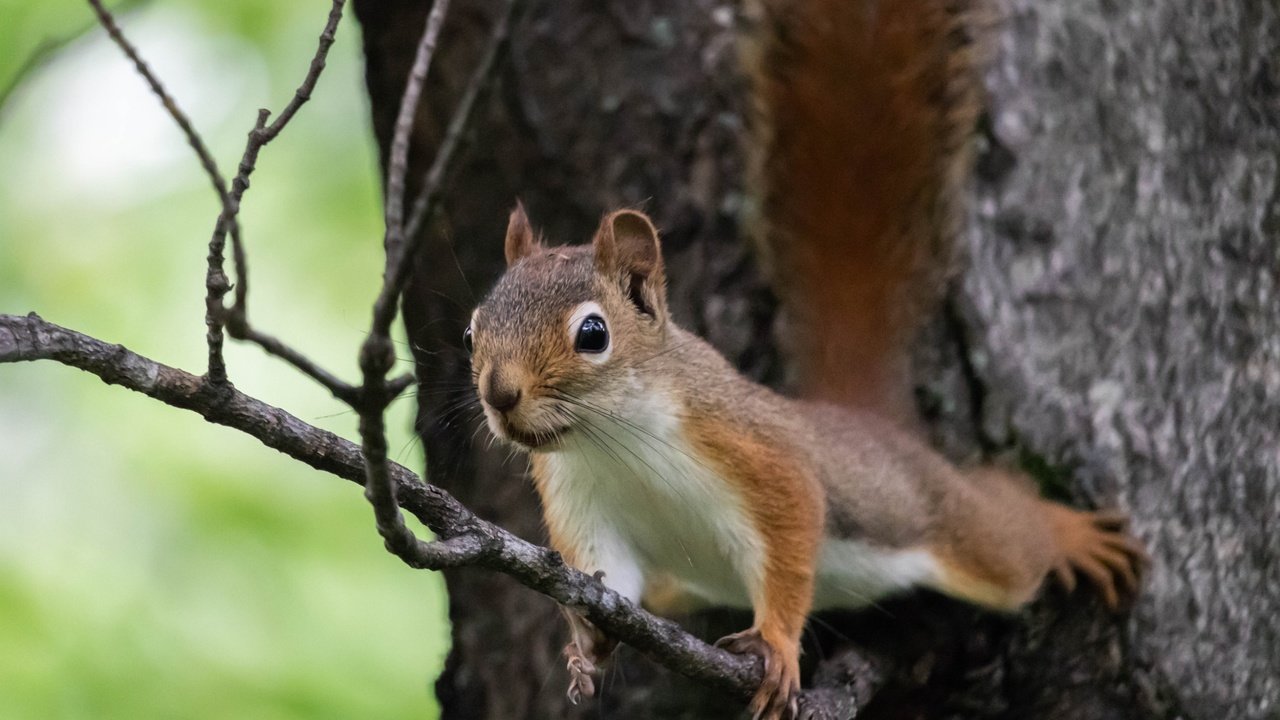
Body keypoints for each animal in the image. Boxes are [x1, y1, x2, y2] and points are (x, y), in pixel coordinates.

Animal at [463, 1, 1152, 717]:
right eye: (471, 331)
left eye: (593, 334)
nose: (499, 395)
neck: (611, 442)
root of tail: (862, 421)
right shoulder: (582, 504)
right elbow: (608, 578)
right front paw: (588, 646)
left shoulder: (755, 452)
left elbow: (793, 539)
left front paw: (777, 644)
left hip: (947, 522)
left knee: (1011, 535)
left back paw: (1070, 533)